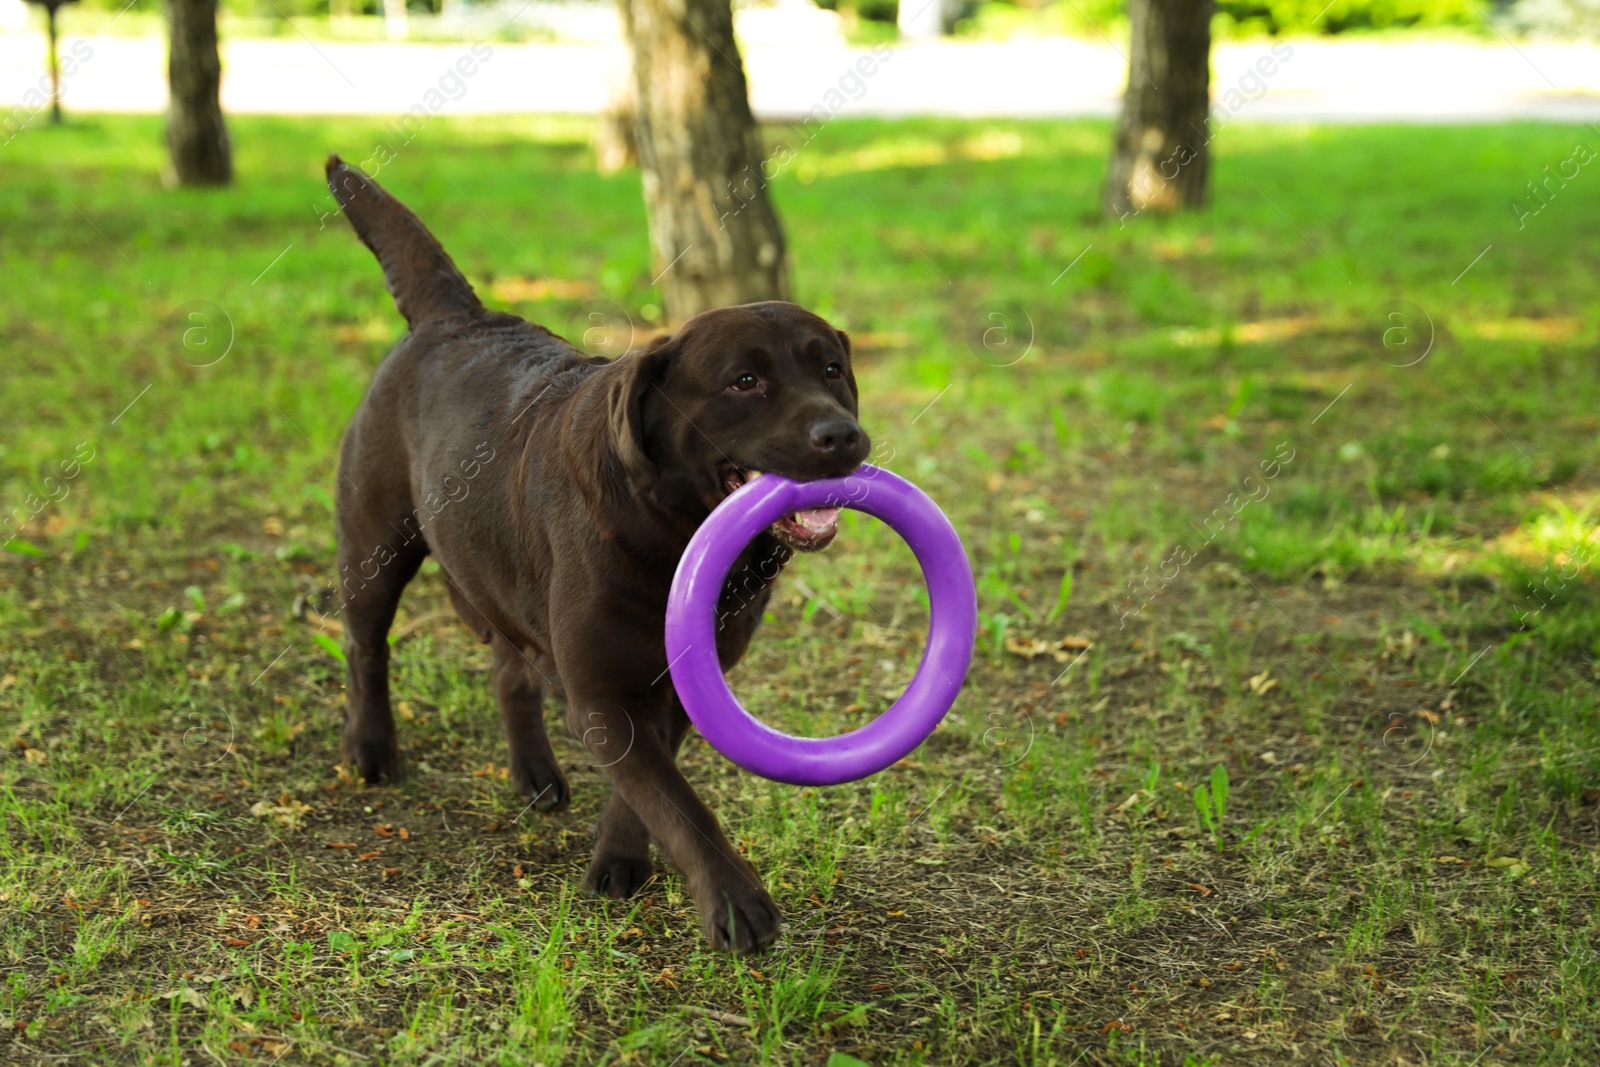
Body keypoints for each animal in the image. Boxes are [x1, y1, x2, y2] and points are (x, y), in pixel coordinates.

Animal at [323, 156, 870, 953]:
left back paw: (534, 772)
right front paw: (735, 900)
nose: (842, 435)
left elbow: (650, 786)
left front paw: (621, 858)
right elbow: (675, 800)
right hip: (375, 546)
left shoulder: (676, 684)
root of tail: (455, 315)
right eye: (745, 380)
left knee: (510, 670)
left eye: (831, 370)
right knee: (367, 645)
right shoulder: (604, 690)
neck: (670, 529)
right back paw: (370, 747)